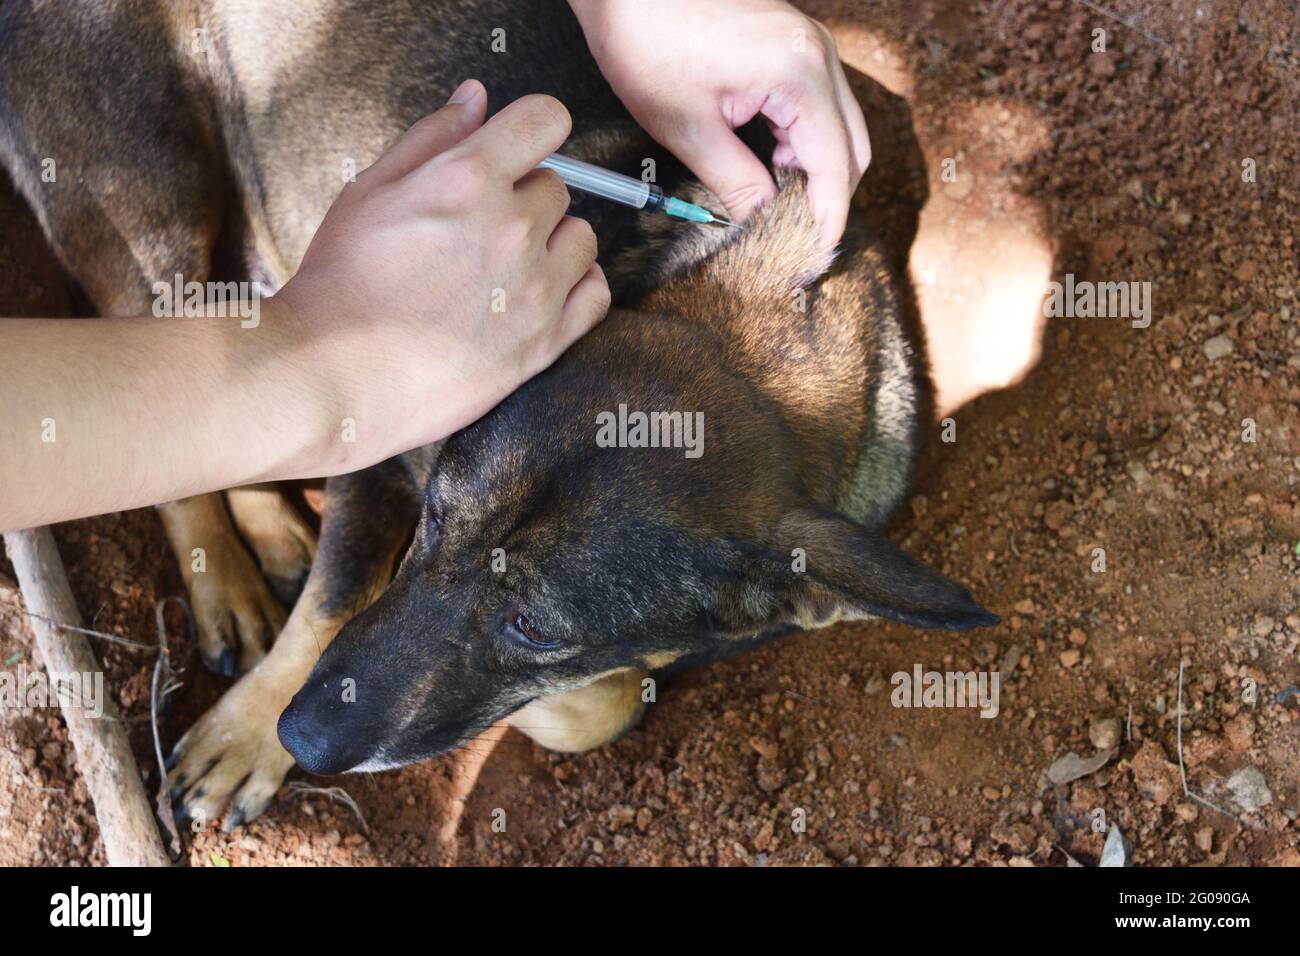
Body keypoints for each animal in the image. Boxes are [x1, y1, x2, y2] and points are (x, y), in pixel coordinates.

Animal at [2, 0, 993, 832]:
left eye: (537, 630)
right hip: (152, 206)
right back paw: (229, 581)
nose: (303, 738)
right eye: (437, 517)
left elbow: (595, 706)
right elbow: (334, 598)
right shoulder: (380, 435)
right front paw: (247, 732)